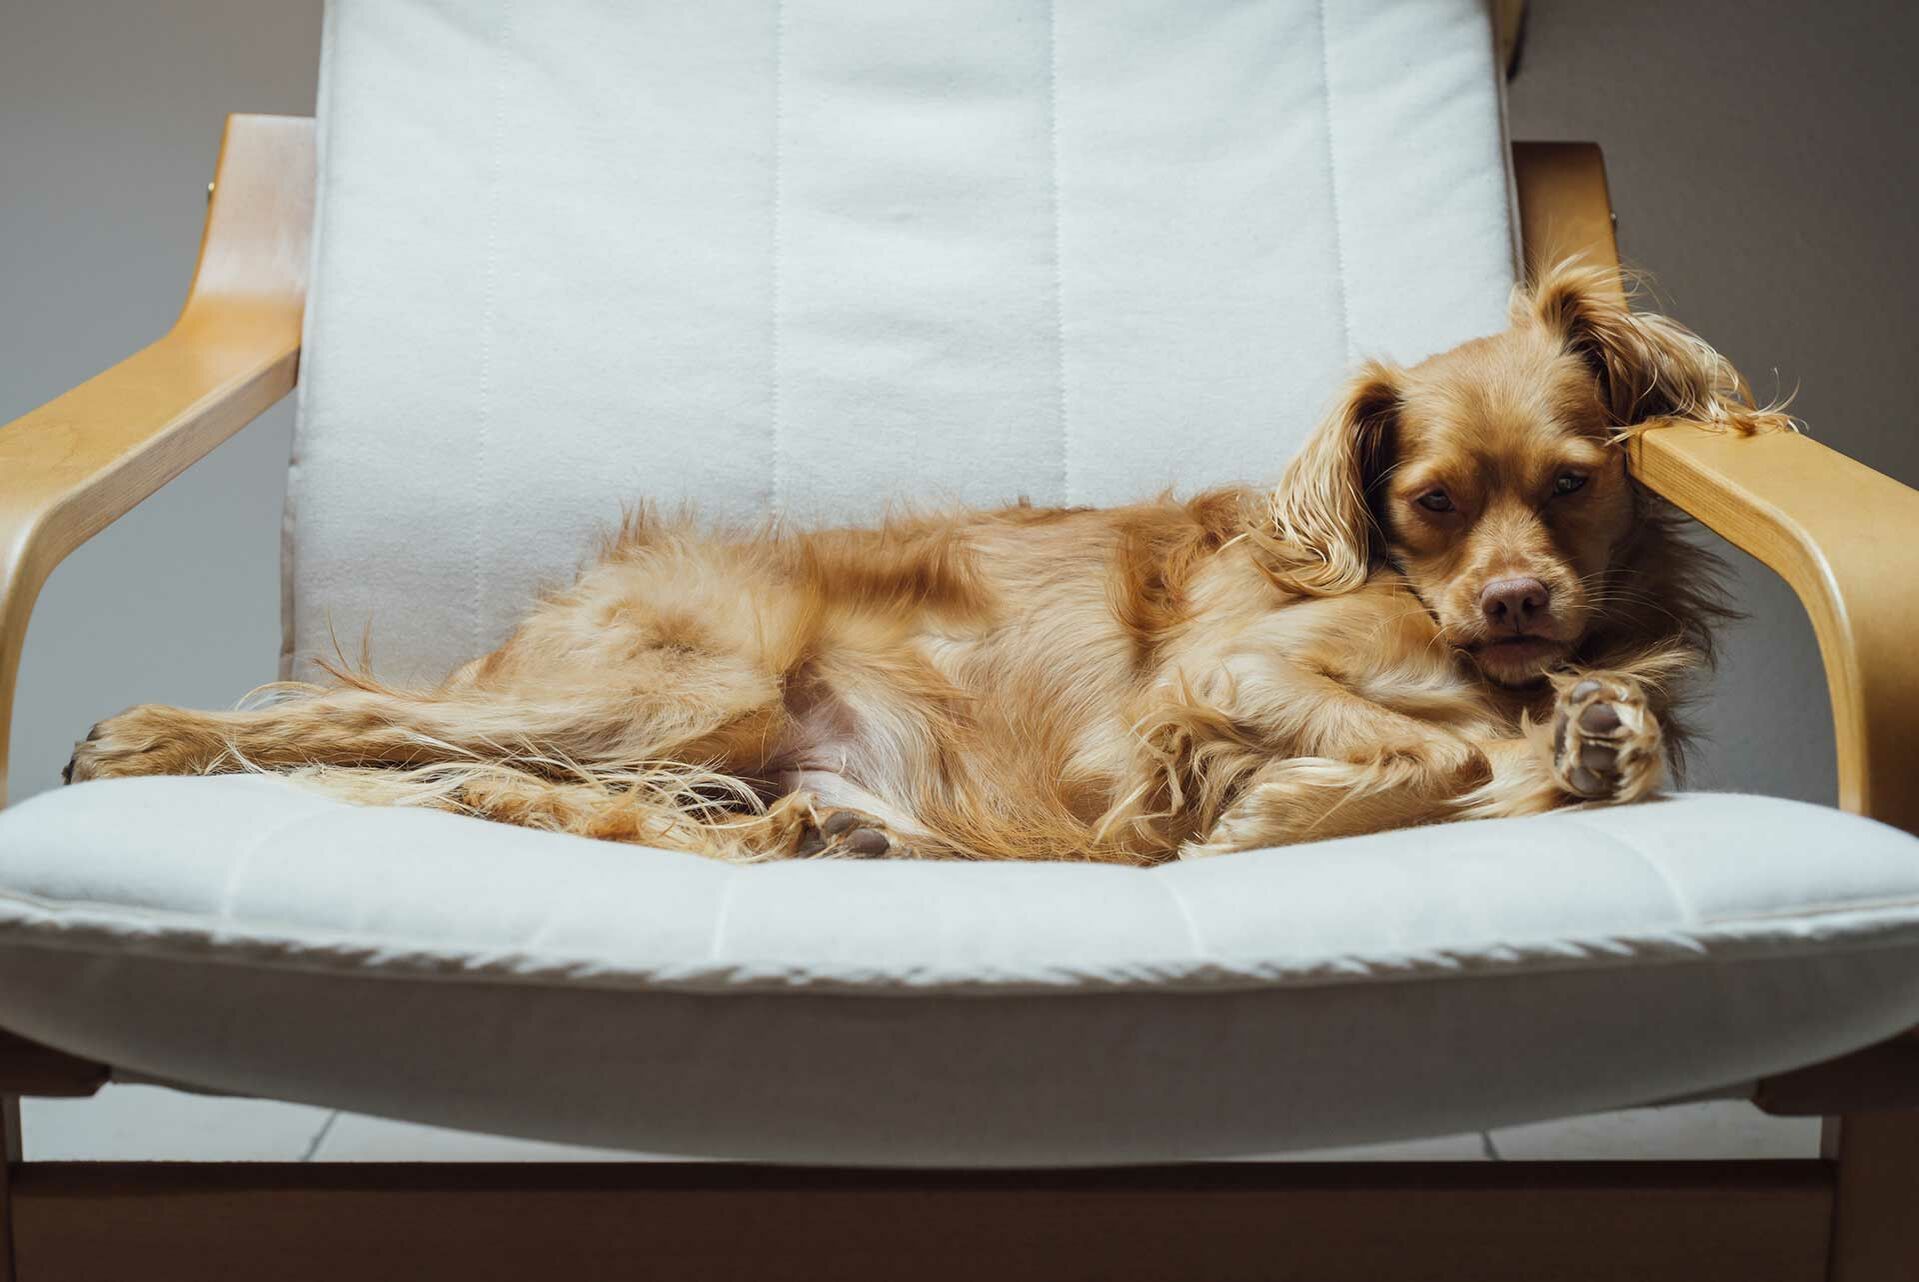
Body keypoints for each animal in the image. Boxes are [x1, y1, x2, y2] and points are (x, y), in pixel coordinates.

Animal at [63, 259, 1796, 859]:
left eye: (1570, 485)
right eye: (1427, 502)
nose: (1513, 602)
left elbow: (1549, 754)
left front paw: (1591, 733)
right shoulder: (1222, 669)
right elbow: (1414, 755)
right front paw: (1274, 806)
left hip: (689, 732)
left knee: (512, 787)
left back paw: (794, 834)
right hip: (689, 688)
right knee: (355, 725)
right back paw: (138, 738)